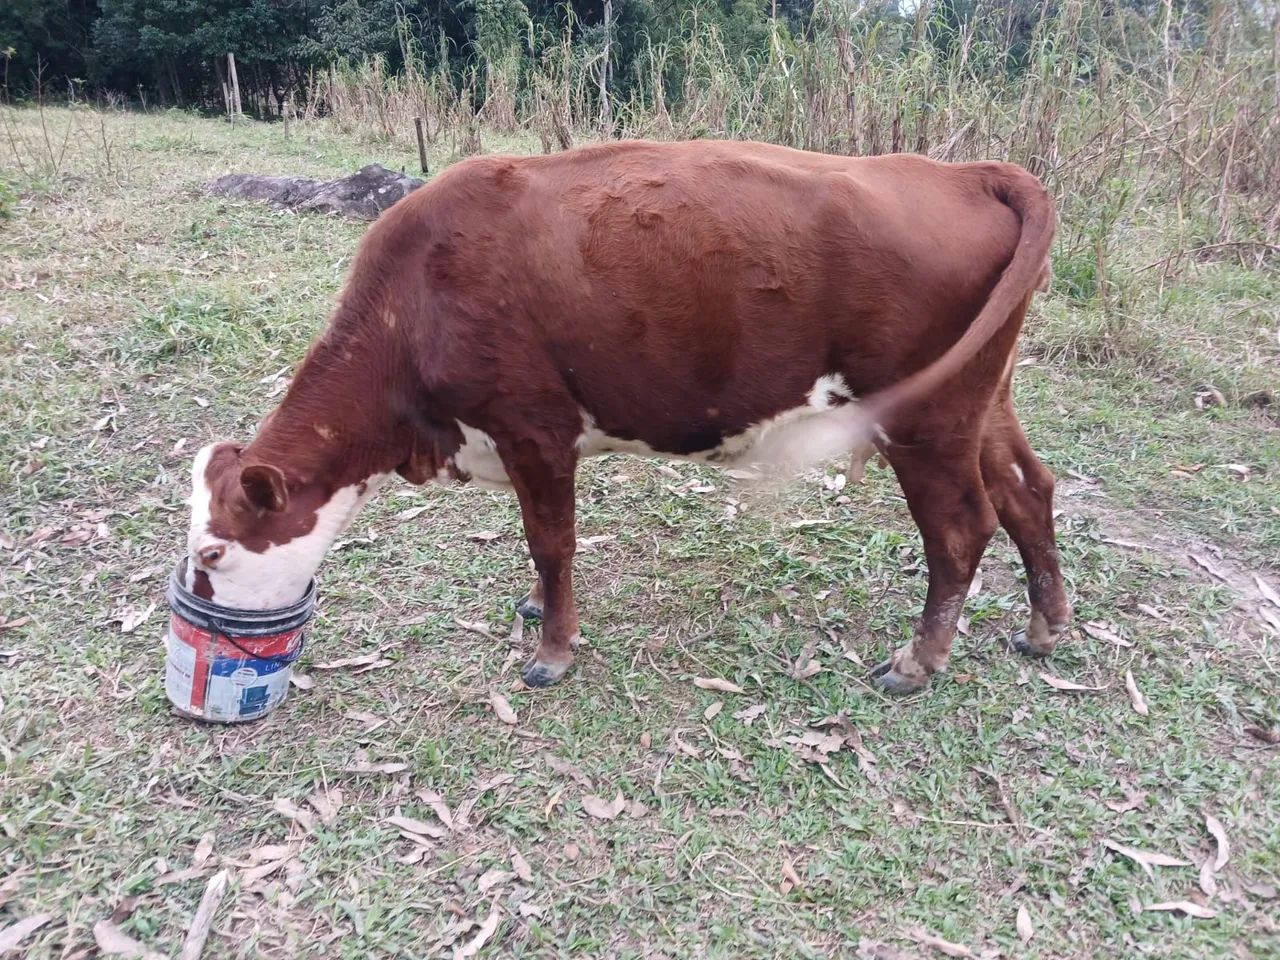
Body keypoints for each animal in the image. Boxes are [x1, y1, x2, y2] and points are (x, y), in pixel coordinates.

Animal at [184, 139, 1071, 695]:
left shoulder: (534, 427)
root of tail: (968, 172)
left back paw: (918, 663)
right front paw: (541, 613)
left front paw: (552, 650)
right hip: (980, 399)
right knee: (1028, 491)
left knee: (960, 529)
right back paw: (1046, 626)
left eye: (214, 554)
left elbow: (551, 542)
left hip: (925, 416)